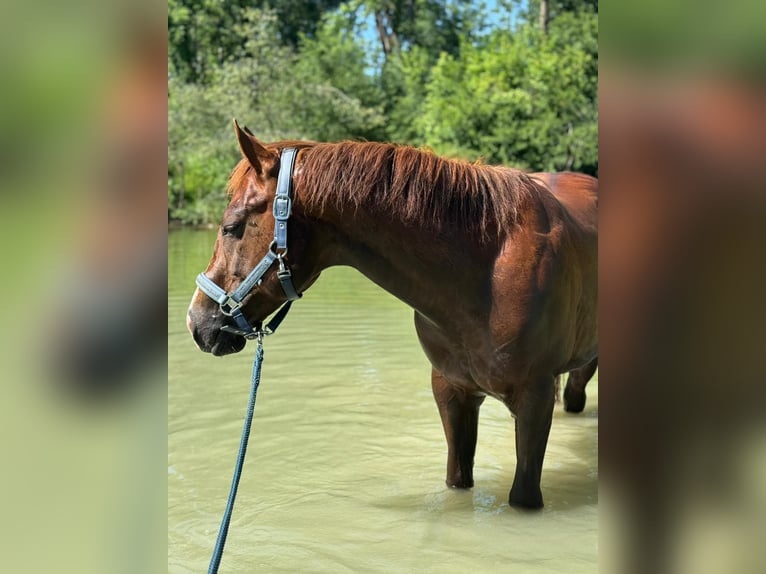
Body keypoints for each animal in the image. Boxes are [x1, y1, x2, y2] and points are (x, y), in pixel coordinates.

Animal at [187, 121, 598, 508]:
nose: (196, 322)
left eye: (231, 227)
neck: (489, 269)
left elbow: (523, 497)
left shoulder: (533, 401)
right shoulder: (451, 392)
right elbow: (457, 479)